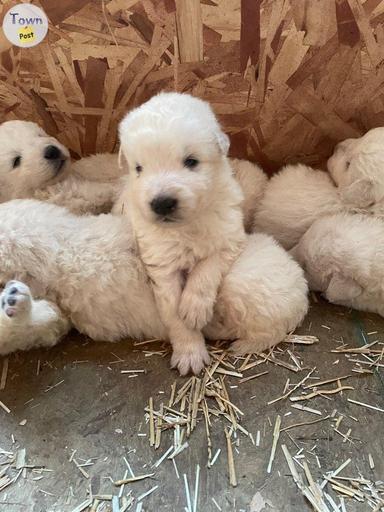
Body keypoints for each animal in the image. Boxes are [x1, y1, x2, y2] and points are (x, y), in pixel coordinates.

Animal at [118, 92, 248, 374]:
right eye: (139, 168)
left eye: (191, 161)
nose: (162, 203)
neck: (185, 227)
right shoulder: (162, 264)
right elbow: (173, 314)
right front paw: (190, 353)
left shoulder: (230, 236)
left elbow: (207, 267)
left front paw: (194, 309)